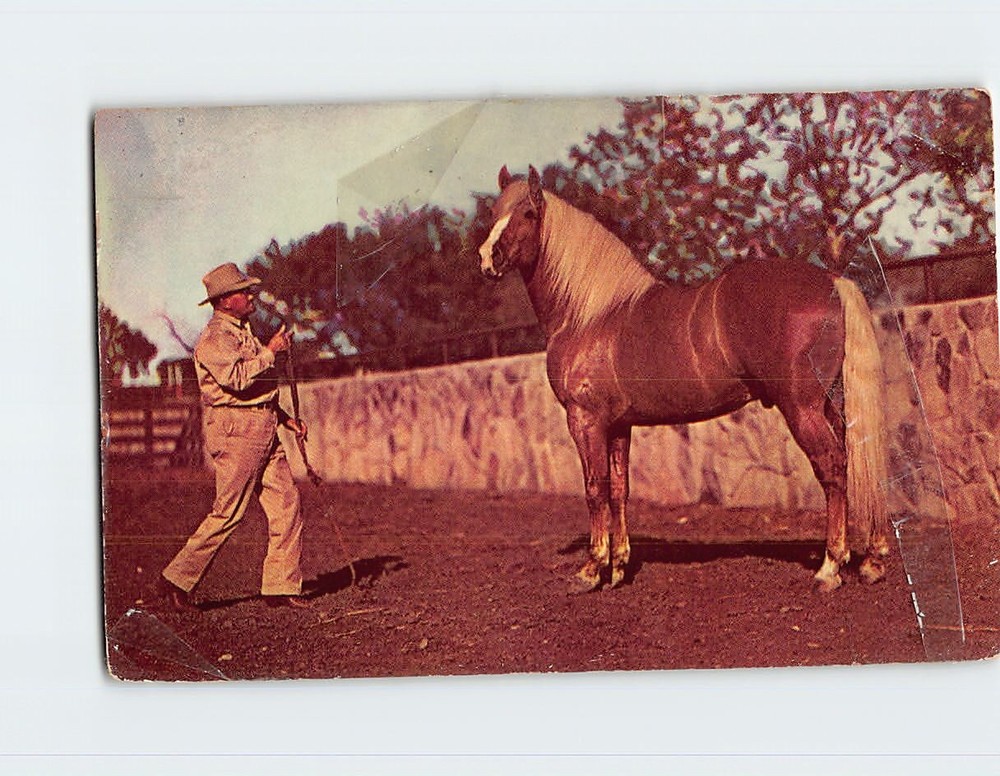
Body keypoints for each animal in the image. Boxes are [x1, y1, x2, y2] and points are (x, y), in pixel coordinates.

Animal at [478, 165, 889, 594]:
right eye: (494, 212)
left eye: (528, 213)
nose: (488, 259)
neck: (589, 315)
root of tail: (831, 281)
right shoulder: (618, 425)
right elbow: (619, 489)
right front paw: (618, 567)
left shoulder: (585, 420)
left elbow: (595, 488)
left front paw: (591, 569)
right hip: (831, 404)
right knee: (855, 459)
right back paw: (871, 561)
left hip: (802, 408)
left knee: (832, 467)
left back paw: (830, 567)